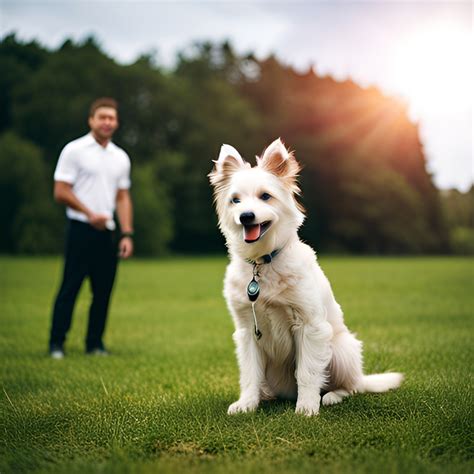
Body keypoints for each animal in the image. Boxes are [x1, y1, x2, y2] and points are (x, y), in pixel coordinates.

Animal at [208, 139, 404, 416]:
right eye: (235, 200)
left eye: (265, 196)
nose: (246, 216)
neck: (263, 263)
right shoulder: (247, 332)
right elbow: (250, 375)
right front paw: (247, 404)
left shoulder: (309, 326)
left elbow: (308, 373)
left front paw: (306, 408)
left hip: (341, 351)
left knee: (351, 386)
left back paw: (331, 397)